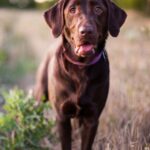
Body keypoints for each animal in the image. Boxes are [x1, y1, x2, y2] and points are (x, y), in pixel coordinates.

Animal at [34, 0, 126, 149]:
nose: (86, 31)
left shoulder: (92, 118)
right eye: (72, 9)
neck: (80, 68)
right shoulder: (62, 117)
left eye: (98, 9)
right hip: (40, 94)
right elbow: (66, 144)